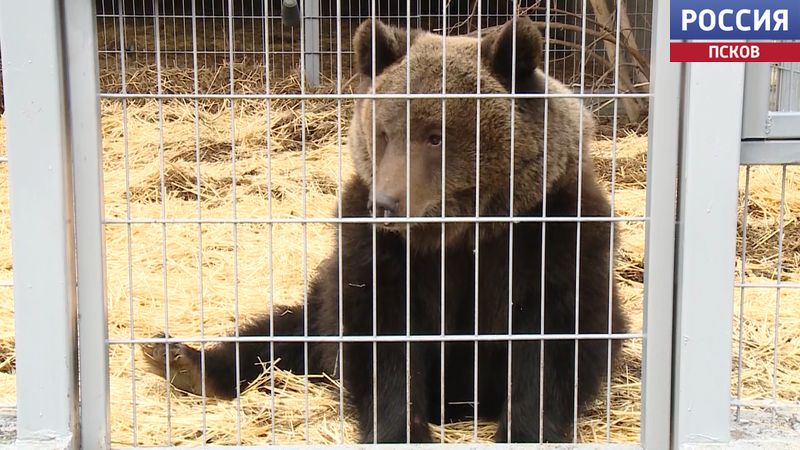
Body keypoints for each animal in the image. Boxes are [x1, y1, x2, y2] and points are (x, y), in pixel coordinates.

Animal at [145, 17, 632, 442]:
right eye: (383, 133)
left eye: (436, 136)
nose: (386, 202)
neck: (461, 231)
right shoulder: (377, 248)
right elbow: (382, 335)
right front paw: (402, 430)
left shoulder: (551, 234)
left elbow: (552, 339)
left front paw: (524, 431)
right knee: (285, 330)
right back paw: (183, 361)